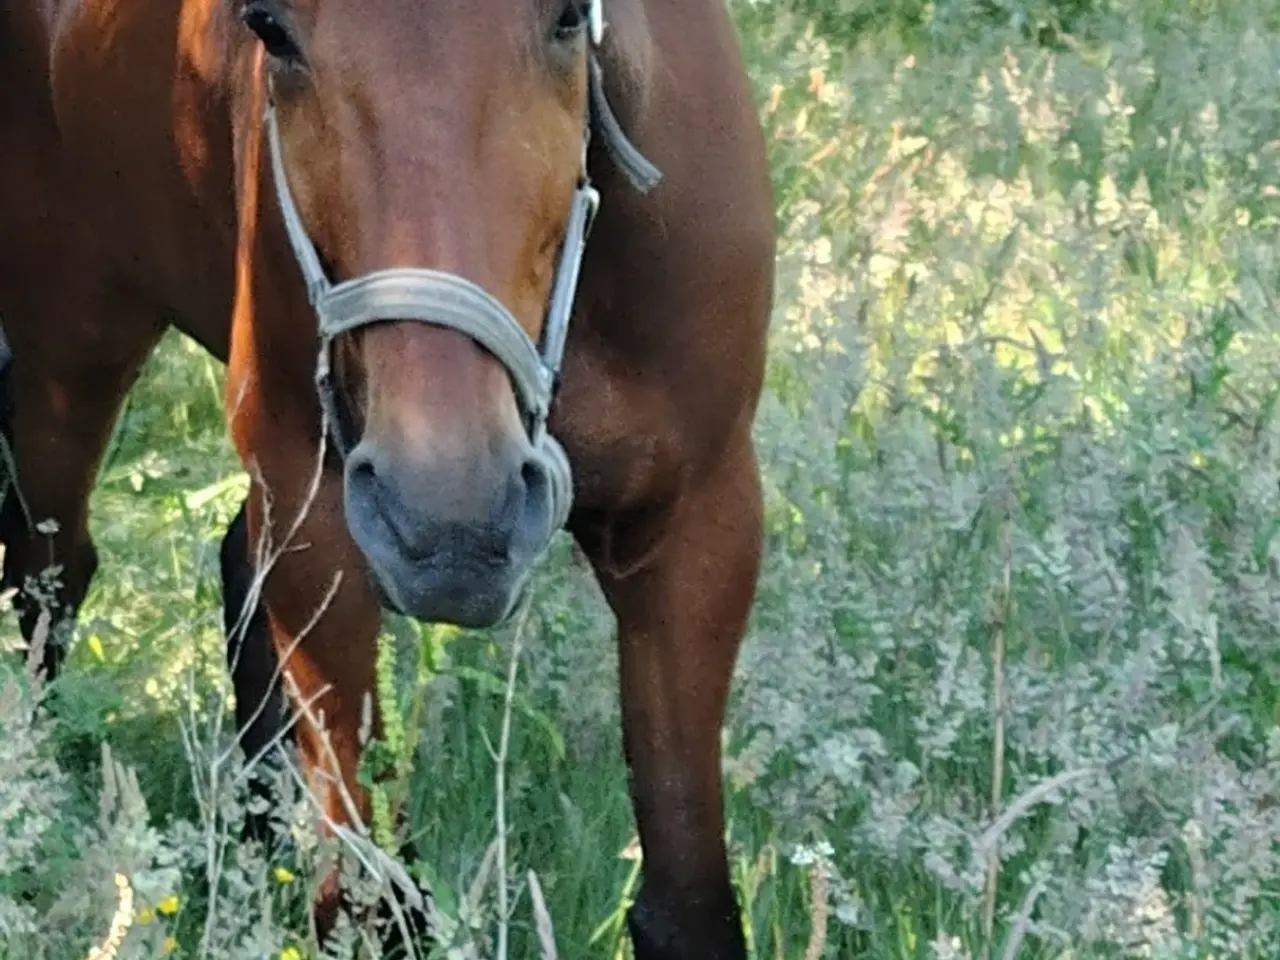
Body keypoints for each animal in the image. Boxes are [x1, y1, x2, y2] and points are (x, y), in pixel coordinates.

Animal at [0, 0, 776, 956]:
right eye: (269, 27)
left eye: (567, 18)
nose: (449, 523)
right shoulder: (313, 504)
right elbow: (369, 895)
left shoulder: (698, 523)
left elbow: (687, 900)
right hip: (70, 349)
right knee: (51, 574)